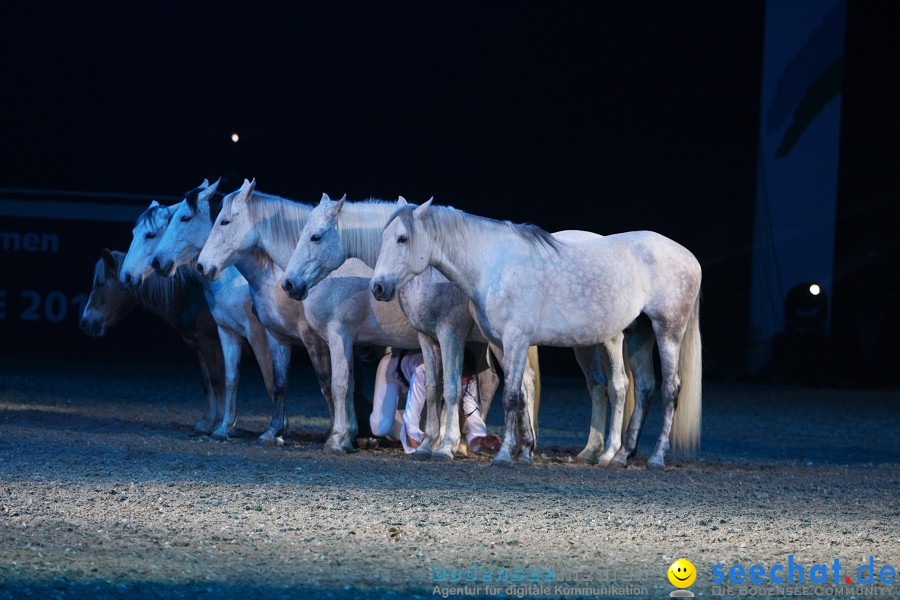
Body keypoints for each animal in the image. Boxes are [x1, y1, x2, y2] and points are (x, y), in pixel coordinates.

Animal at [132, 178, 276, 440]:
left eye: (185, 218)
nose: (157, 262)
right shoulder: (225, 332)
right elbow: (228, 378)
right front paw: (223, 427)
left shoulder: (258, 335)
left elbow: (270, 377)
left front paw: (276, 429)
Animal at [193, 180, 422, 452]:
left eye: (225, 222)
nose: (201, 266)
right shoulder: (292, 337)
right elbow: (291, 382)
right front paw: (275, 432)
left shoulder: (327, 336)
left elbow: (332, 384)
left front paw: (337, 437)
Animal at [370, 202, 700, 468]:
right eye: (383, 238)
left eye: (402, 238)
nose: (378, 287)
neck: (494, 264)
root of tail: (689, 258)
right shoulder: (492, 343)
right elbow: (504, 392)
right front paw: (521, 450)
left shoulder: (502, 339)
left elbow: (509, 397)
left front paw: (502, 455)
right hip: (637, 334)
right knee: (642, 388)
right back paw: (619, 455)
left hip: (665, 332)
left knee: (666, 389)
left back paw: (653, 457)